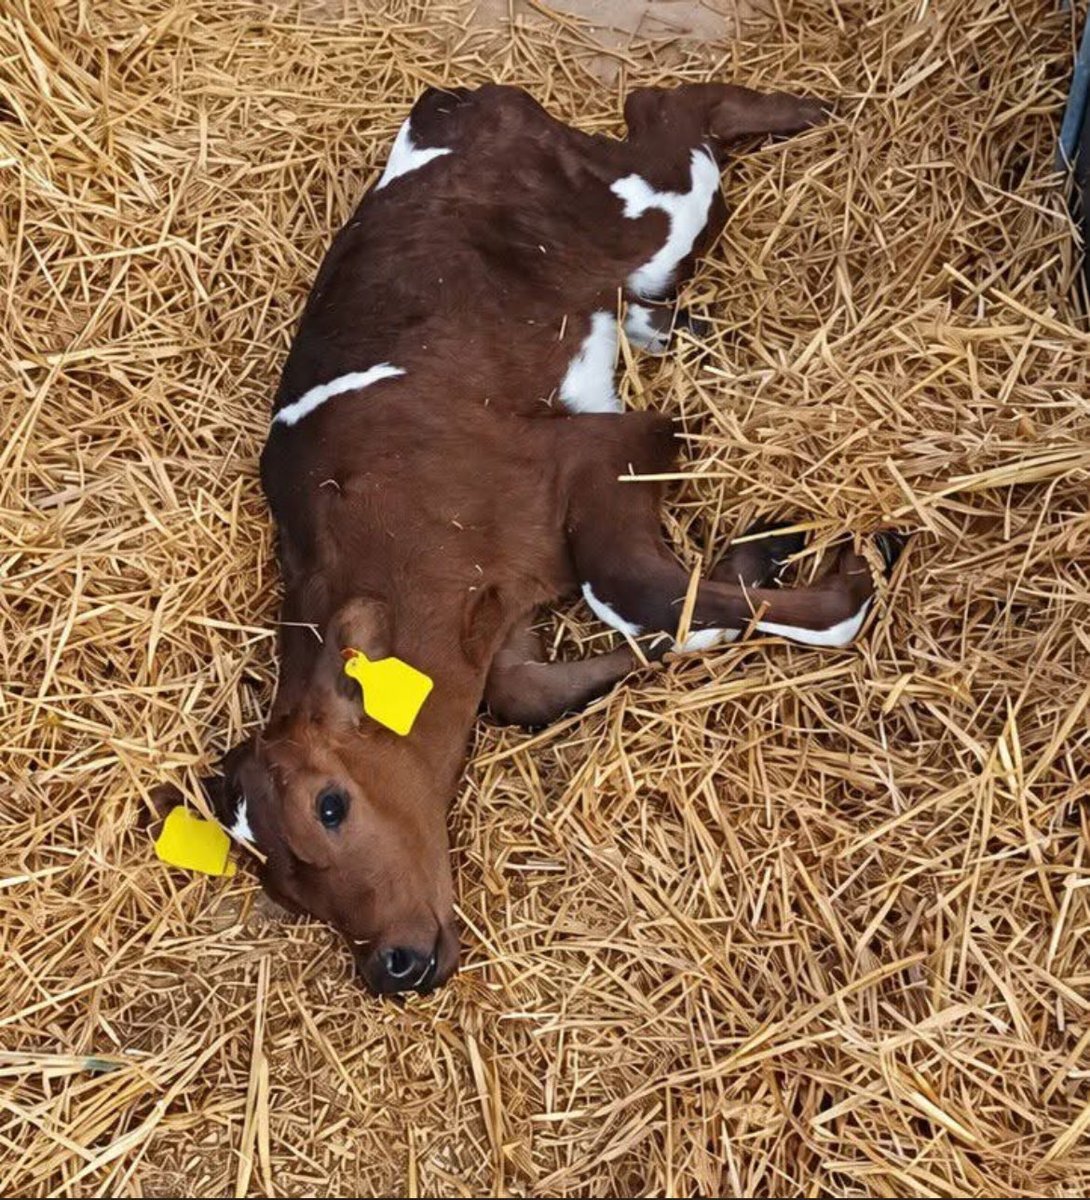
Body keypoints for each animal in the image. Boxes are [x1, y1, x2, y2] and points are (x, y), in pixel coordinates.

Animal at [195, 83, 902, 994]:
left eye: (330, 804)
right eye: (280, 887)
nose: (392, 965)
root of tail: (449, 104)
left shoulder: (604, 445)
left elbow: (631, 589)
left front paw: (854, 574)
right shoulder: (506, 621)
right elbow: (541, 687)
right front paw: (766, 552)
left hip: (645, 208)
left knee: (670, 107)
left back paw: (811, 109)